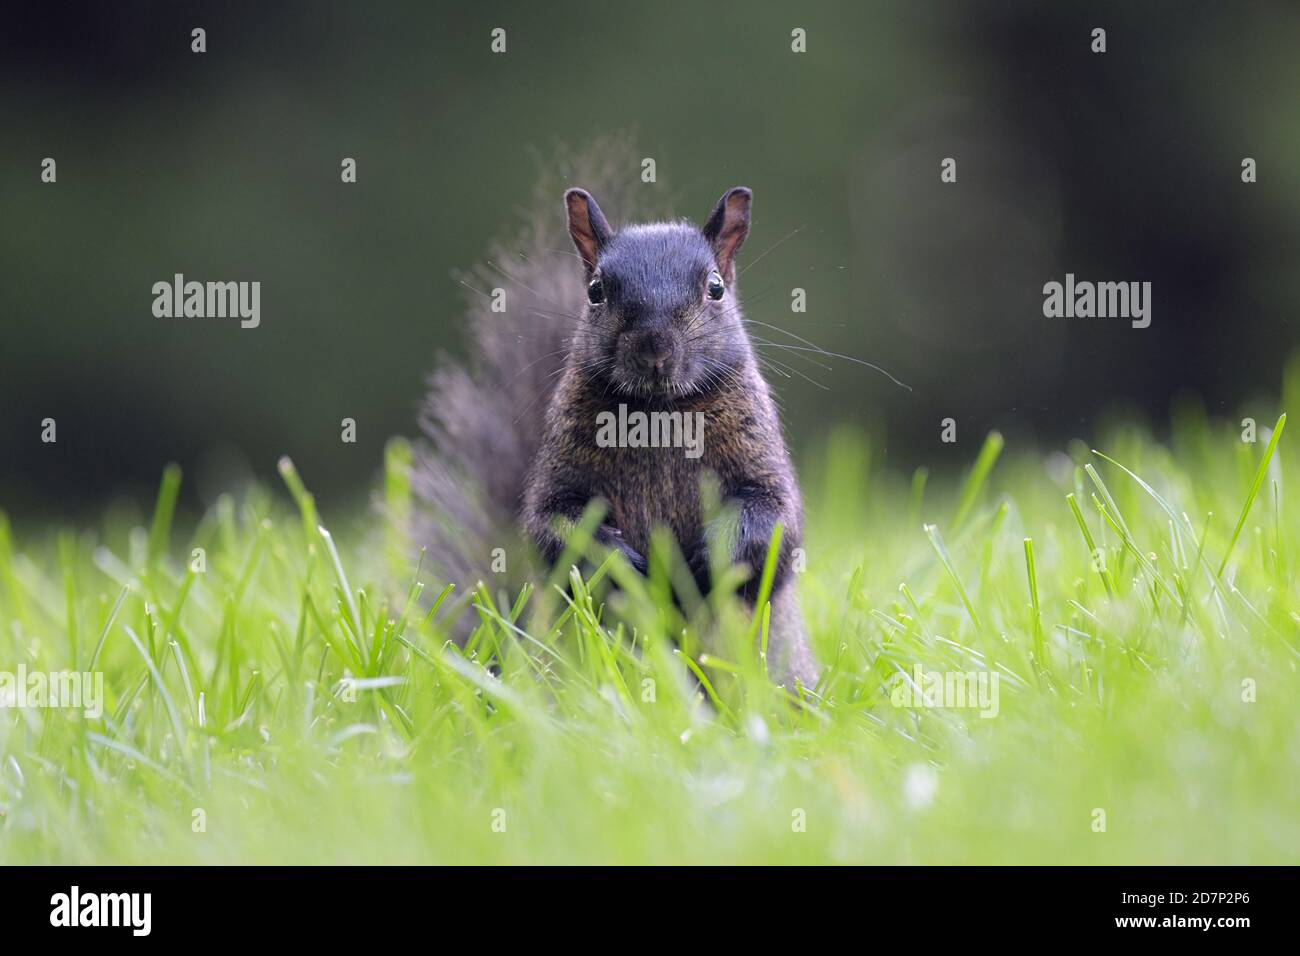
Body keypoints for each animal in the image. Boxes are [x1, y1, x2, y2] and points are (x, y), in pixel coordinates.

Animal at [413, 157, 811, 686]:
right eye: (595, 290)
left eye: (716, 288)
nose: (655, 347)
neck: (658, 416)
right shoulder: (561, 473)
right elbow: (551, 525)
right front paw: (620, 567)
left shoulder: (759, 458)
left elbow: (776, 522)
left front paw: (711, 554)